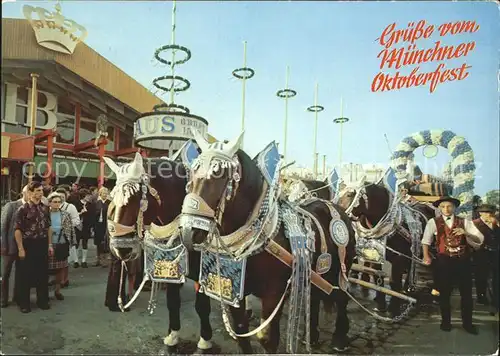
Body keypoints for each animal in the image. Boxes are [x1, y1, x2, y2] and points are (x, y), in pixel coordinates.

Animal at [103, 152, 215, 350]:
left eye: (134, 200)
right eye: (112, 199)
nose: (120, 248)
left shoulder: (203, 271)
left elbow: (202, 305)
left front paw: (205, 339)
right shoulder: (171, 266)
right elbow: (173, 301)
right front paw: (173, 334)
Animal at [178, 135, 358, 354]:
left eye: (218, 174)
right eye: (192, 172)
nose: (188, 231)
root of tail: (338, 209)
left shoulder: (274, 292)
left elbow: (267, 338)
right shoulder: (236, 291)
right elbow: (241, 331)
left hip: (342, 268)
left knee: (341, 297)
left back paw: (340, 339)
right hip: (316, 272)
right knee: (315, 297)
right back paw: (312, 337)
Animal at [336, 182, 438, 316]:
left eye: (349, 194)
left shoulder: (398, 259)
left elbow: (394, 282)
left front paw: (393, 309)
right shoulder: (375, 256)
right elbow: (377, 278)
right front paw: (380, 306)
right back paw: (406, 288)